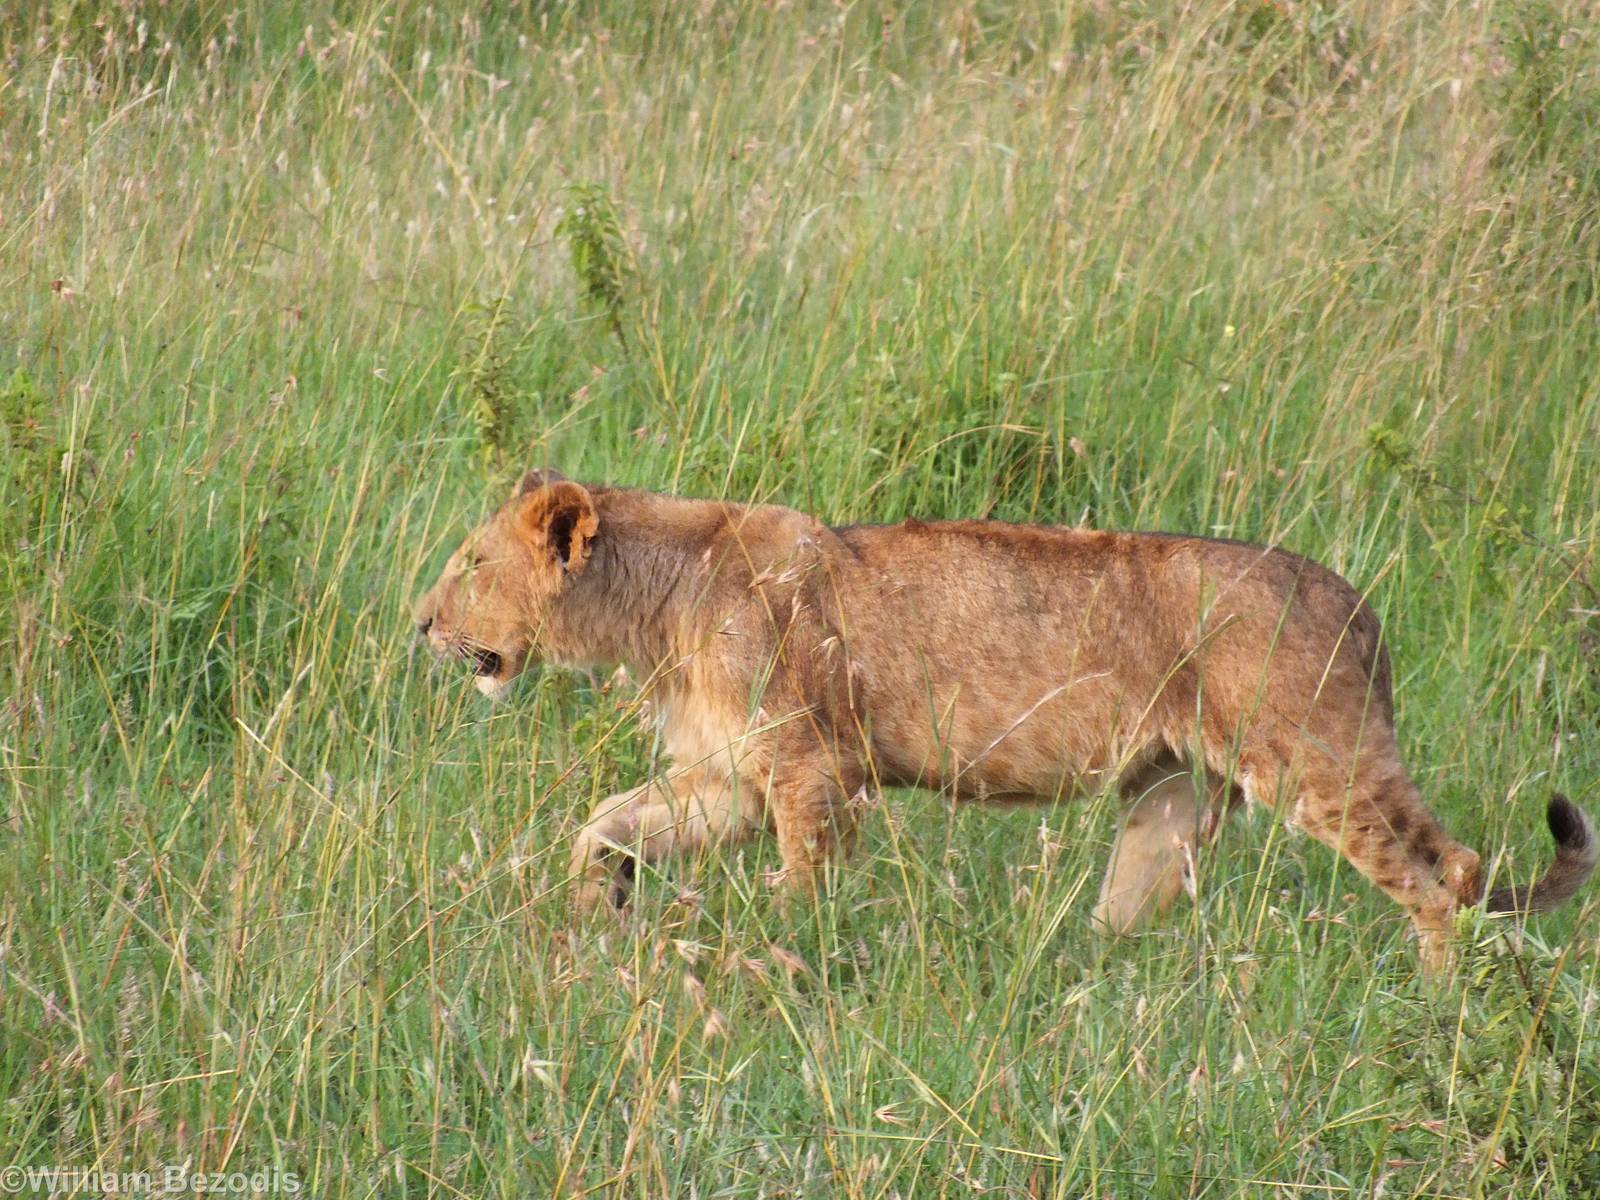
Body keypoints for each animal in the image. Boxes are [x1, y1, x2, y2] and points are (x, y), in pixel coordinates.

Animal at [413, 470, 1595, 972]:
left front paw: (772, 962)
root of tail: (1358, 604)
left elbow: (800, 888)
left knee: (1445, 872)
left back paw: (1433, 1006)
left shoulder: (808, 771)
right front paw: (599, 912)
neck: (654, 600)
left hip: (1312, 758)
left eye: (468, 563)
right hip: (1173, 798)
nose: (417, 622)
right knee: (1126, 915)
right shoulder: (732, 779)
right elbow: (605, 822)